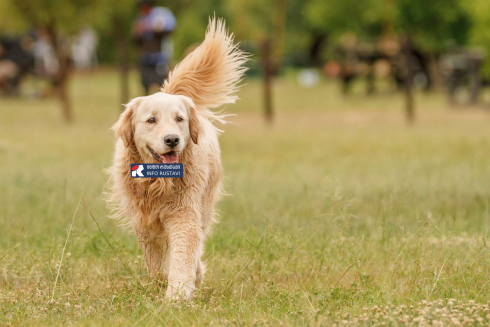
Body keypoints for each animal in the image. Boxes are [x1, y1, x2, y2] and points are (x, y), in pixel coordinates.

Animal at [106, 18, 247, 300]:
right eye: (151, 120)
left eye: (179, 119)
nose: (172, 139)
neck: (158, 182)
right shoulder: (145, 221)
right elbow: (157, 262)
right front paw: (164, 285)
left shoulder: (184, 214)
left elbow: (183, 254)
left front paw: (178, 294)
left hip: (205, 204)